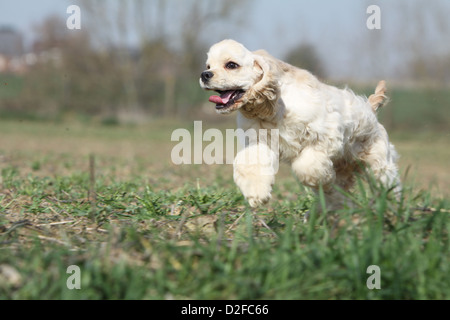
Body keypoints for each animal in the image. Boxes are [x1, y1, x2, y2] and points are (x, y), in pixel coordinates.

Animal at [199, 39, 400, 210]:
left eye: (231, 65)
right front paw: (256, 194)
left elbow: (307, 166)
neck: (276, 109)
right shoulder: (259, 141)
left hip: (379, 162)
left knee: (388, 184)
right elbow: (249, 165)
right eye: (209, 66)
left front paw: (318, 178)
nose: (204, 74)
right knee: (338, 194)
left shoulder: (325, 135)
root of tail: (370, 108)